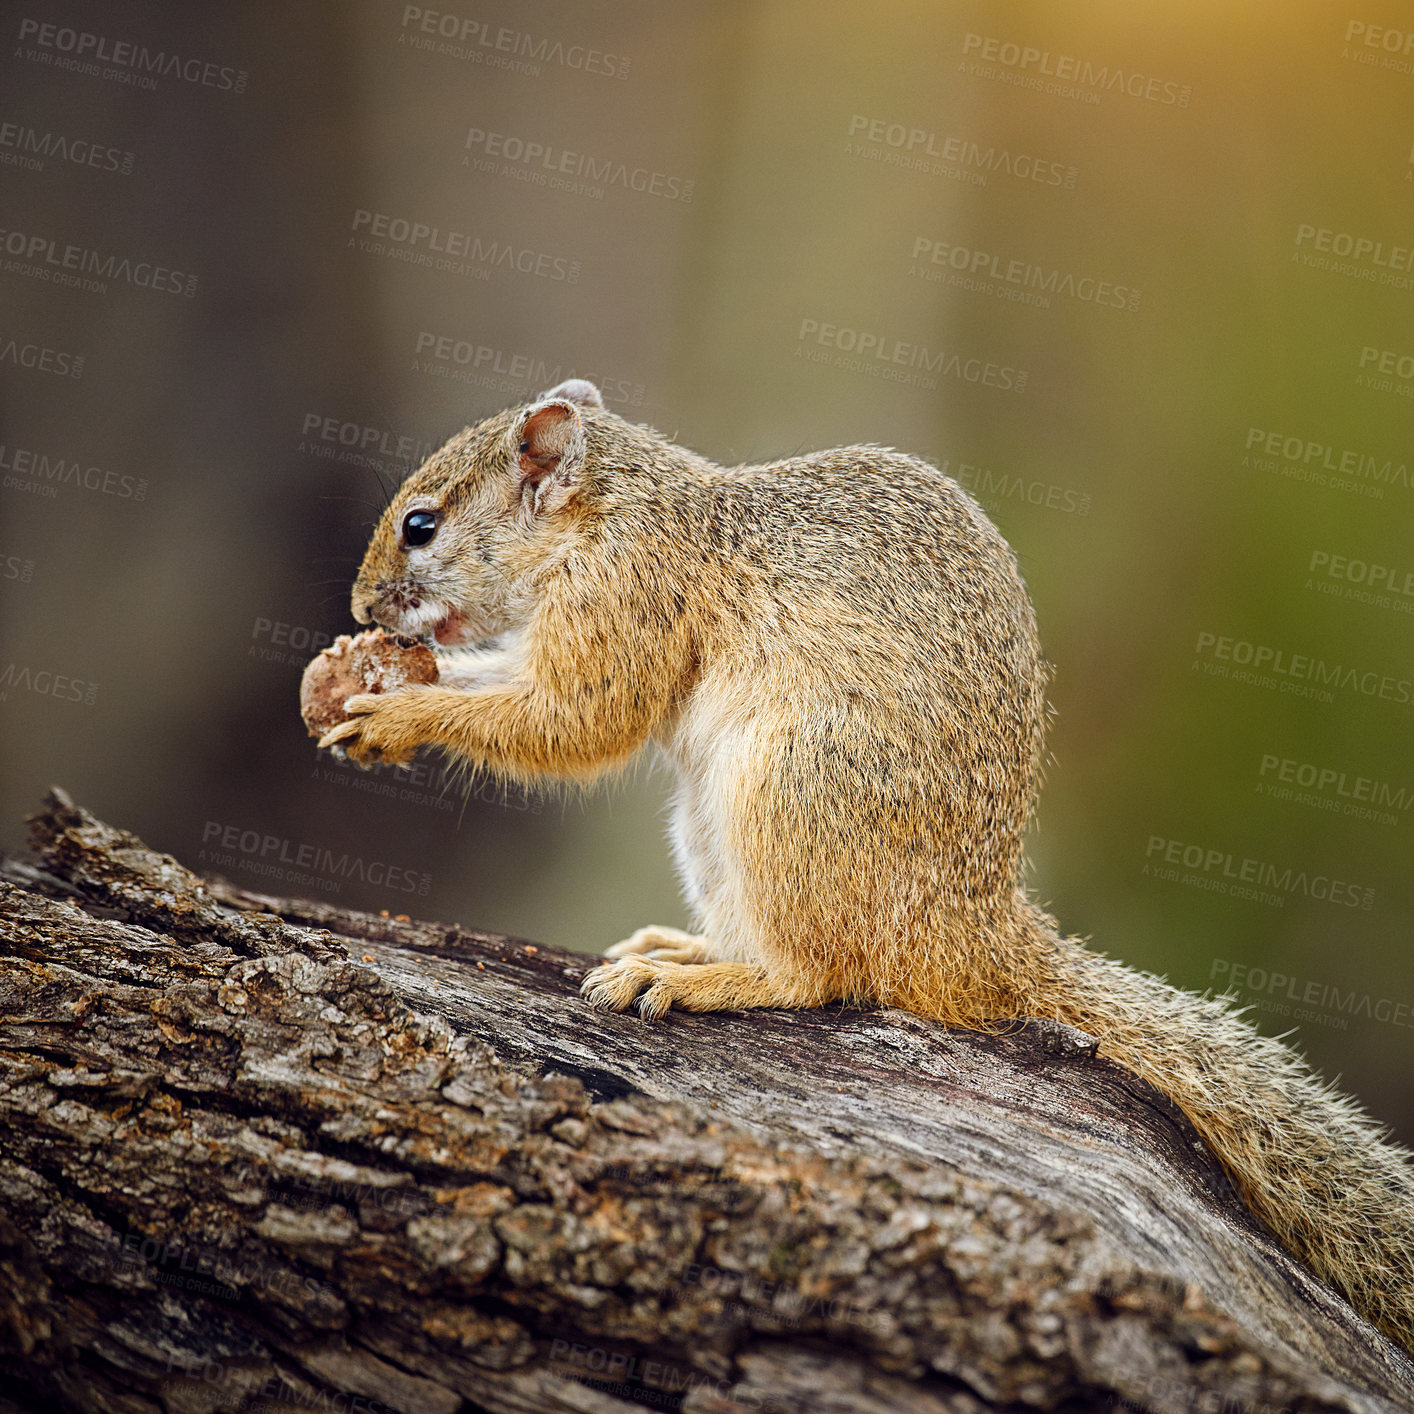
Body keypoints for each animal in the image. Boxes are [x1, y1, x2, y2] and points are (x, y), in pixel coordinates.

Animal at [320, 381, 1414, 1351]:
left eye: (421, 525)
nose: (362, 601)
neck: (616, 510)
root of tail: (968, 935)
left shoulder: (625, 600)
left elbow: (575, 721)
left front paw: (396, 713)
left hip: (785, 789)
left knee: (820, 975)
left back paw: (710, 978)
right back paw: (689, 947)